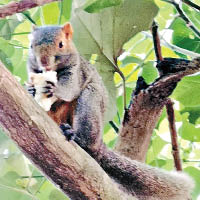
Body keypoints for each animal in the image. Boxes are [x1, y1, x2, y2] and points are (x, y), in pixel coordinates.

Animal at [27, 22, 194, 199]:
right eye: (31, 46)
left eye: (61, 44)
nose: (44, 62)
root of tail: (99, 143)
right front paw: (30, 89)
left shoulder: (76, 72)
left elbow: (69, 89)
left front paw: (52, 89)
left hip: (90, 103)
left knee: (87, 139)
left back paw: (77, 137)